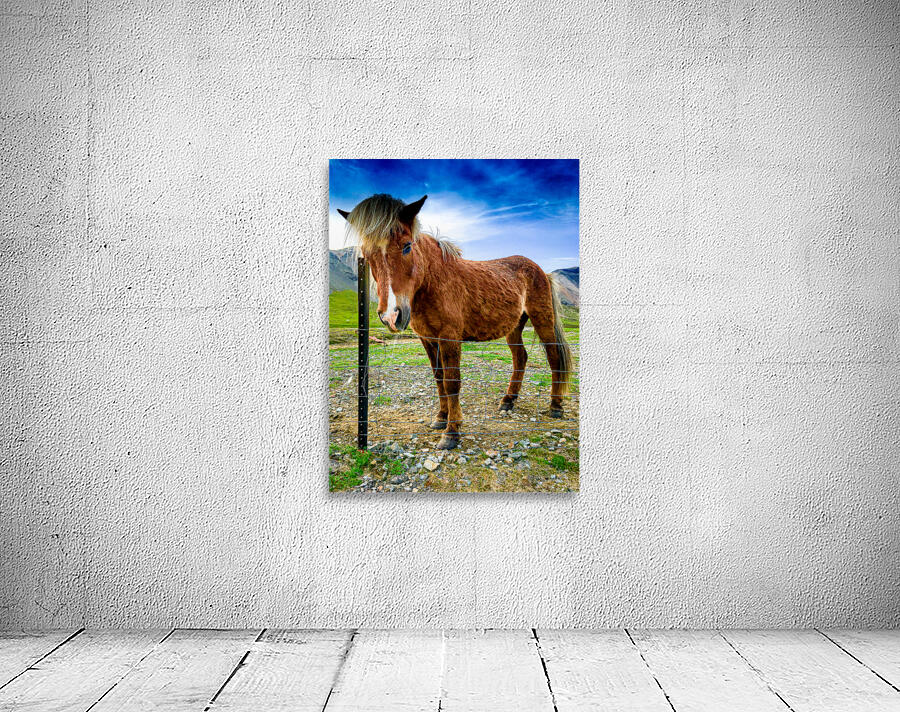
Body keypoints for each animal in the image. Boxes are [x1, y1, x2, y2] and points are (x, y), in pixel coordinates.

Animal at [337, 193, 573, 450]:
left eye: (407, 246)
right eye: (367, 254)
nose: (391, 316)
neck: (433, 281)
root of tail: (541, 271)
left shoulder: (449, 338)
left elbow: (452, 381)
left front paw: (452, 432)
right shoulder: (428, 339)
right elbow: (439, 378)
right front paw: (441, 418)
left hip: (542, 320)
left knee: (554, 357)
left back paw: (556, 406)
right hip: (514, 327)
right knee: (520, 357)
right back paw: (508, 400)